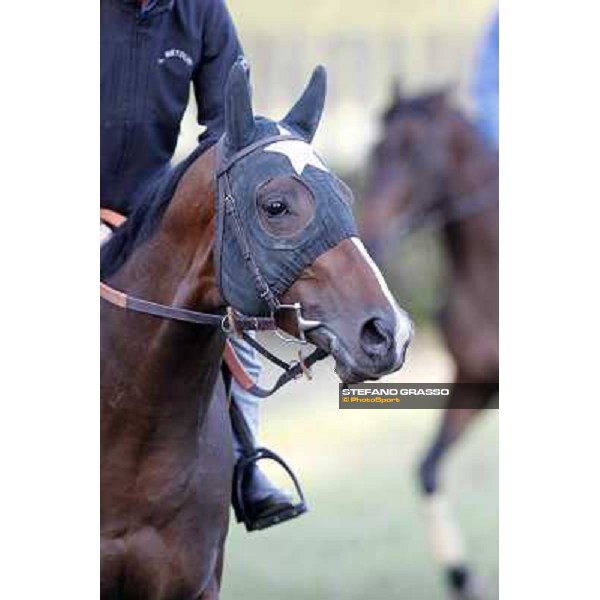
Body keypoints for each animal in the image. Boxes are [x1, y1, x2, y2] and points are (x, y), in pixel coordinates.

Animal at [360, 88, 496, 600]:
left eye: (414, 151)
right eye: (376, 150)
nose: (371, 235)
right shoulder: (475, 380)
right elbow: (428, 469)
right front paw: (462, 577)